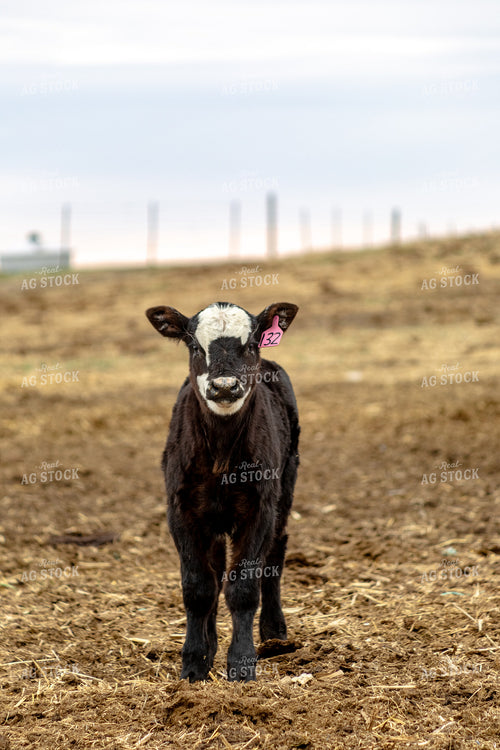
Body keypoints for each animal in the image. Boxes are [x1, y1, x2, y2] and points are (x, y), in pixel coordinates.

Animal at [145, 301, 300, 682]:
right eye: (195, 346)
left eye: (251, 344)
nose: (225, 386)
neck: (221, 455)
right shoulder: (181, 510)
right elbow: (199, 586)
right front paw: (194, 661)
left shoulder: (260, 509)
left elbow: (244, 587)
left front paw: (242, 664)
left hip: (286, 487)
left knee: (276, 552)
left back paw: (275, 632)